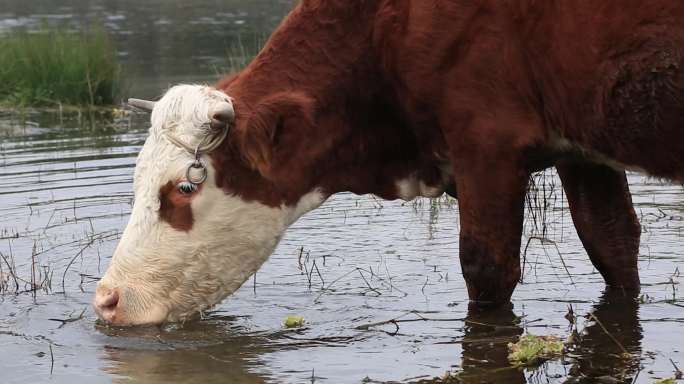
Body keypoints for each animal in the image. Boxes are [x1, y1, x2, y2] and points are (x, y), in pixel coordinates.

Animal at [95, 0, 684, 326]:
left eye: (184, 188)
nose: (106, 299)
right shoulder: (583, 149)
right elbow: (612, 244)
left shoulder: (487, 144)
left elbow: (487, 269)